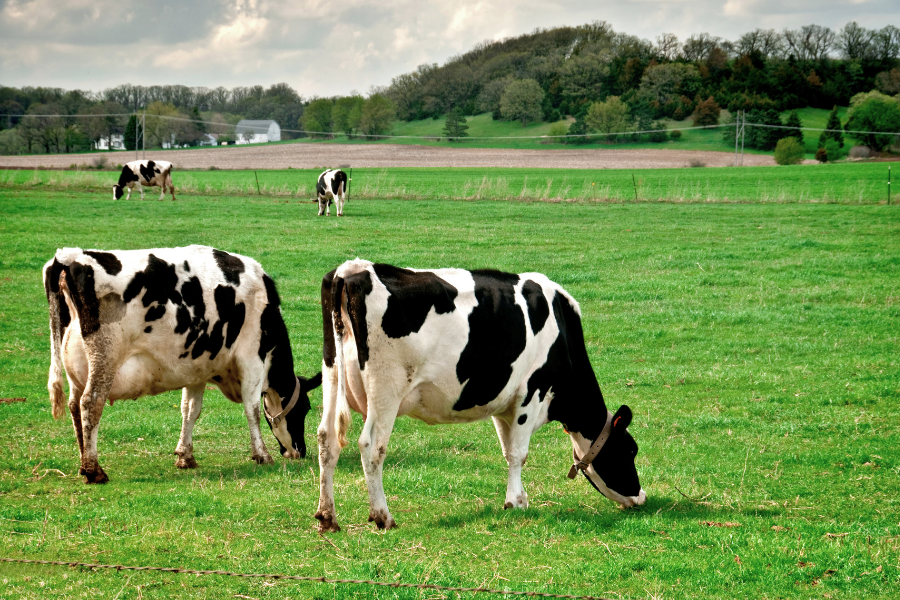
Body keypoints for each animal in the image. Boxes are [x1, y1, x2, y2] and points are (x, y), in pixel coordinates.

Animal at [43, 245, 321, 484]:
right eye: (304, 408)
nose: (300, 450)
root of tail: (70, 256)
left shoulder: (196, 370)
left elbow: (190, 410)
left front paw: (185, 456)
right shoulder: (252, 359)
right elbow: (252, 409)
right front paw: (262, 454)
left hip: (76, 366)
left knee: (74, 406)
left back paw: (83, 464)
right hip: (105, 358)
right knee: (90, 404)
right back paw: (94, 470)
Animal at [315, 259, 645, 532]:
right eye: (630, 450)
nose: (641, 496)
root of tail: (352, 269)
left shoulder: (504, 402)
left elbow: (508, 449)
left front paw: (516, 497)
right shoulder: (532, 390)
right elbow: (519, 452)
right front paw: (516, 502)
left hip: (332, 373)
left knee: (327, 439)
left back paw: (327, 517)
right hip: (386, 388)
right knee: (371, 446)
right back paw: (383, 516)